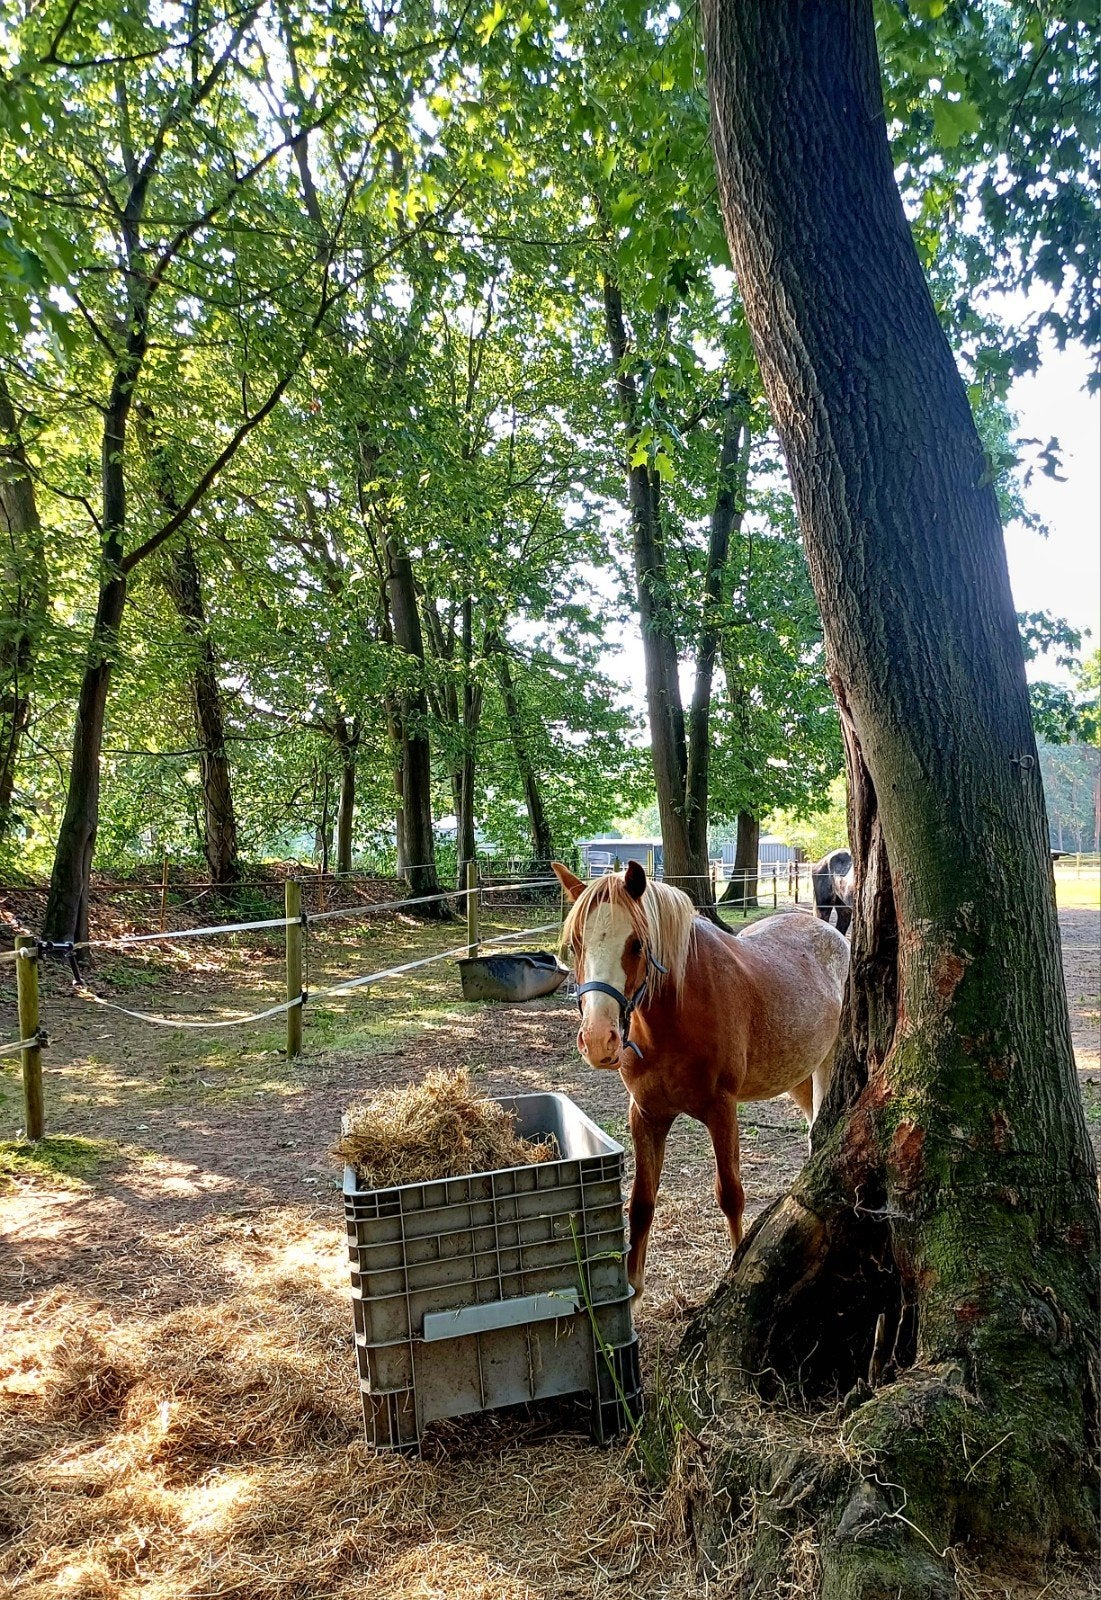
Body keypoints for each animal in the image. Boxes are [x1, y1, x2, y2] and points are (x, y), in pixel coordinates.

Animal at [553, 861, 849, 1299]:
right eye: (576, 944)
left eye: (637, 944)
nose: (598, 1040)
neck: (675, 1017)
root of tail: (829, 932)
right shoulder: (646, 1115)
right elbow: (641, 1203)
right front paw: (634, 1290)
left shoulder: (721, 1110)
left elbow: (731, 1195)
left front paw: (733, 1269)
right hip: (797, 1073)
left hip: (825, 1064)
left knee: (818, 1130)